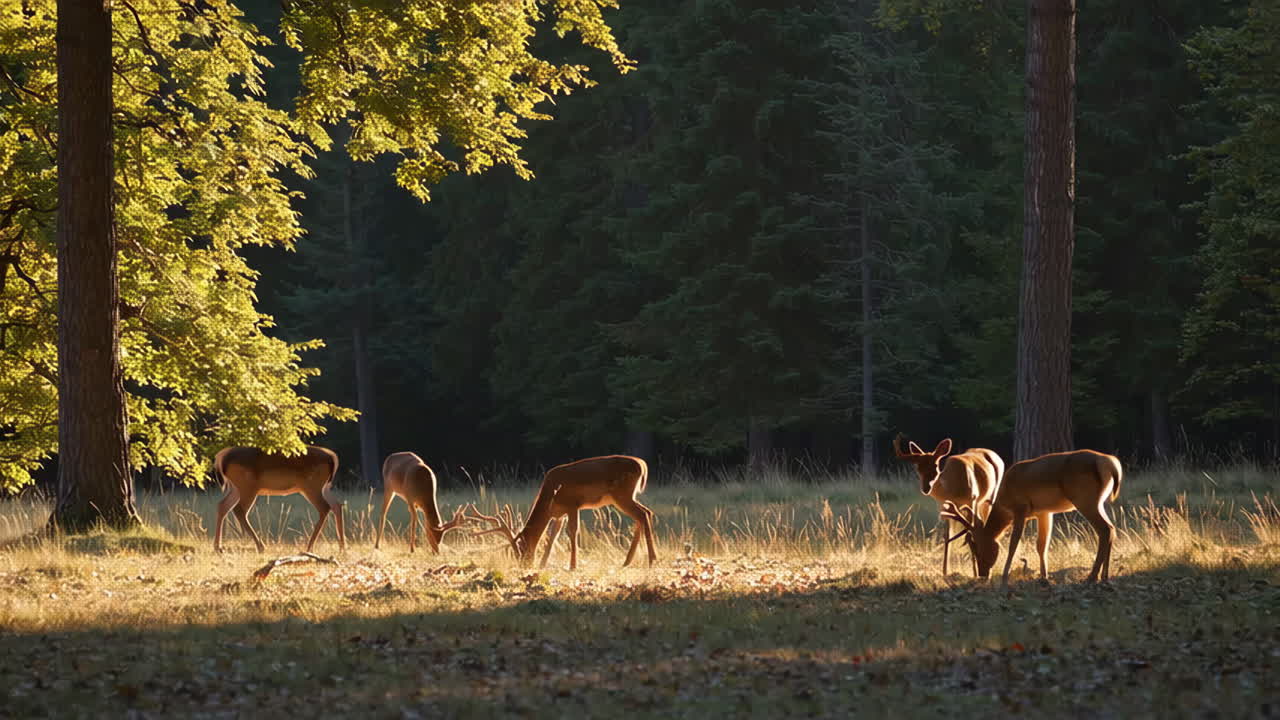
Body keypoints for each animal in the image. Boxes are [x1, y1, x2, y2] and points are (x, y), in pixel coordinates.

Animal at [464, 454, 657, 570]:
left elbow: (572, 532)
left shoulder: (572, 504)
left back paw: (652, 560)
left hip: (621, 495)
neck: (550, 493)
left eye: (521, 551)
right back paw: (628, 561)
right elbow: (553, 536)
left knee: (643, 514)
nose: (526, 566)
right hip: (625, 496)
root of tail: (643, 465)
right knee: (645, 513)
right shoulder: (559, 514)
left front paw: (572, 566)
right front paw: (543, 565)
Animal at [893, 434, 1005, 576]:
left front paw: (975, 572)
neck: (952, 490)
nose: (926, 488)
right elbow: (947, 537)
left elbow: (970, 535)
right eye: (918, 467)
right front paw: (945, 571)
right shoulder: (944, 506)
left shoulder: (972, 499)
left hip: (990, 496)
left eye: (935, 465)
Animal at [941, 449, 1123, 585]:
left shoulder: (1021, 508)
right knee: (1112, 528)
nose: (983, 575)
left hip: (1084, 498)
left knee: (1105, 529)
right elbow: (1041, 545)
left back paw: (1092, 576)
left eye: (978, 549)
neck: (1004, 503)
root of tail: (1110, 463)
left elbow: (1014, 543)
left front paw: (1005, 577)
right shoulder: (1044, 512)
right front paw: (1044, 577)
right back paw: (1105, 575)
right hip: (1098, 501)